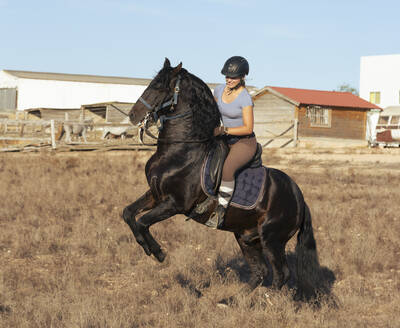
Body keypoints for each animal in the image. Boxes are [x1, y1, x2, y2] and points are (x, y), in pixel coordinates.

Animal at [123, 59, 320, 302]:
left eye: (159, 87)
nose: (132, 115)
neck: (182, 149)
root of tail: (299, 198)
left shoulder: (175, 204)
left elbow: (142, 221)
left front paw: (159, 253)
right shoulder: (155, 195)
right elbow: (128, 214)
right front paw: (148, 248)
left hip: (272, 239)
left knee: (280, 273)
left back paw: (266, 301)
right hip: (247, 237)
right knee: (260, 271)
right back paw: (230, 302)